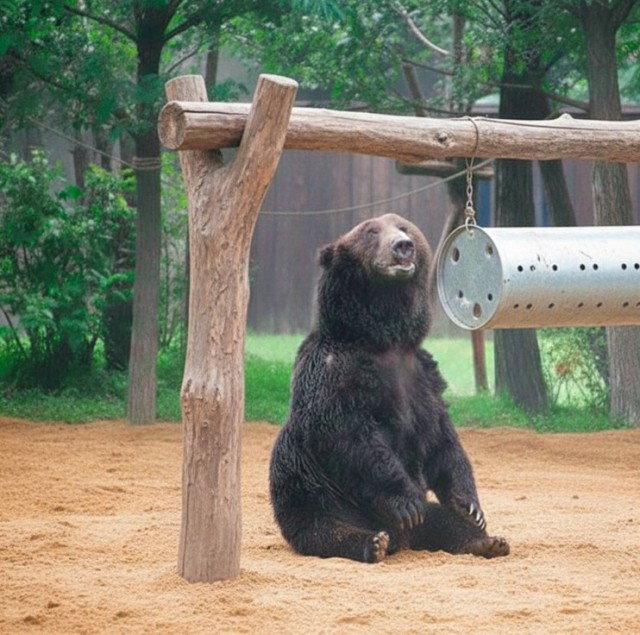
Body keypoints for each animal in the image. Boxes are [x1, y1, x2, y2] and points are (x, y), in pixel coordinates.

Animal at [269, 213, 509, 563]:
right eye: (371, 231)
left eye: (404, 227)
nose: (402, 246)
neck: (383, 339)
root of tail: (404, 539)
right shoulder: (334, 371)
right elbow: (350, 434)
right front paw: (406, 502)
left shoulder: (421, 376)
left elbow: (442, 437)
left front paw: (471, 506)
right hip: (311, 488)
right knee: (324, 526)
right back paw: (373, 542)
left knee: (441, 520)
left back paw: (488, 542)